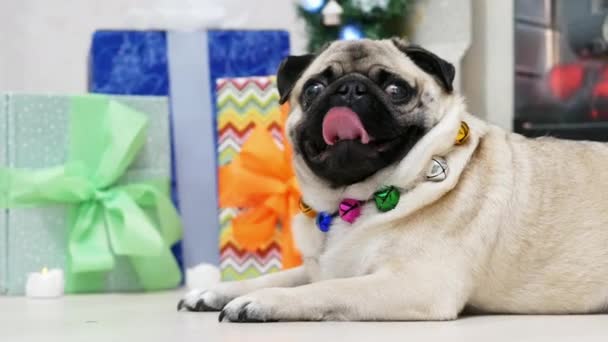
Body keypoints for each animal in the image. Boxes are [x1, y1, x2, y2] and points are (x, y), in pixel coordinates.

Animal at [180, 38, 608, 322]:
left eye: (396, 89)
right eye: (314, 88)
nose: (349, 89)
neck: (352, 201)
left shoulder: (413, 283)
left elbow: (324, 289)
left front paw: (265, 302)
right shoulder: (324, 265)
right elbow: (286, 276)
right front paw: (216, 292)